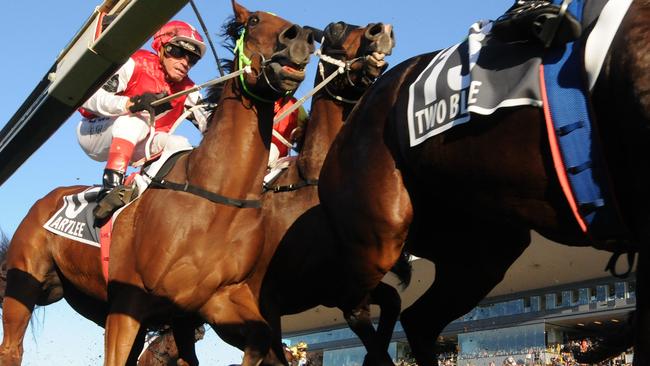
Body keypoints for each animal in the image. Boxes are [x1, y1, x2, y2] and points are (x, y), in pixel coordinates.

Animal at [0, 1, 314, 364]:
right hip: (25, 281)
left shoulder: (209, 302)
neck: (216, 198)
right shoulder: (127, 302)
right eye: (253, 20)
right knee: (11, 348)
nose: (301, 38)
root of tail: (43, 201)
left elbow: (262, 338)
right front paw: (144, 101)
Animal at [318, 1, 648, 364]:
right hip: (380, 233)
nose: (379, 34)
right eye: (335, 31)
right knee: (359, 307)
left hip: (479, 249)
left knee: (417, 318)